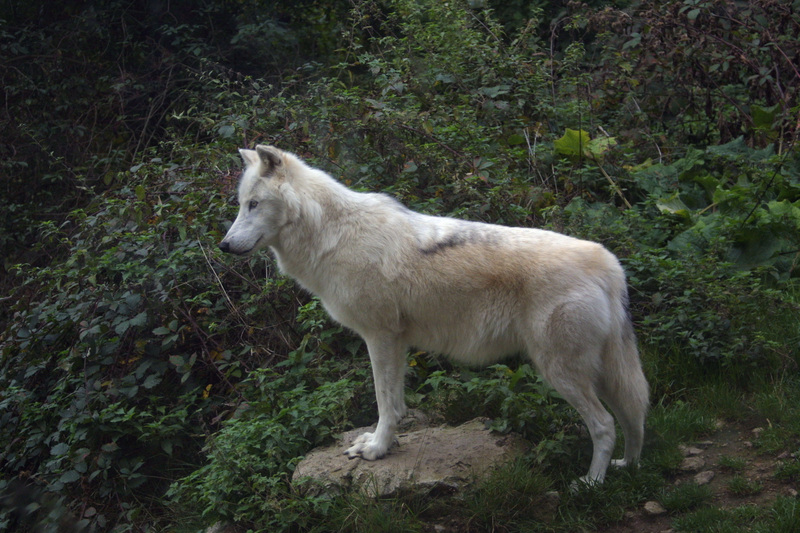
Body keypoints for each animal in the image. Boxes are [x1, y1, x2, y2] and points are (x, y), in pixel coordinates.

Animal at [219, 143, 648, 484]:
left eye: (253, 204)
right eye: (241, 205)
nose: (223, 245)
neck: (332, 234)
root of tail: (608, 263)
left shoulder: (381, 337)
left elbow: (384, 403)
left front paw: (376, 449)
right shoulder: (396, 342)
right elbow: (396, 404)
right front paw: (385, 443)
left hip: (560, 371)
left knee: (605, 425)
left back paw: (591, 484)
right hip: (601, 373)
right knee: (634, 415)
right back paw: (628, 466)